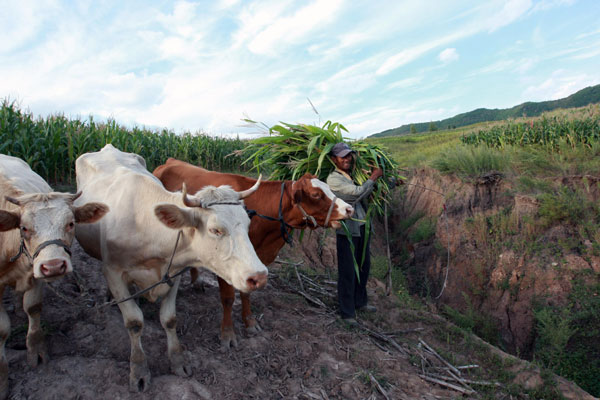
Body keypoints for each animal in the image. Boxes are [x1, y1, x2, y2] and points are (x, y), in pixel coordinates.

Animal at [0, 154, 106, 400]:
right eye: (24, 227)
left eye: (71, 223)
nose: (54, 266)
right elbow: (2, 329)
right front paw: (2, 380)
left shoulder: (35, 272)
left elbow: (33, 308)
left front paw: (36, 352)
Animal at [73, 145, 268, 392]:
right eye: (215, 230)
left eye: (248, 223)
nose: (259, 276)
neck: (147, 228)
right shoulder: (113, 272)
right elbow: (134, 322)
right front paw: (139, 370)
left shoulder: (173, 273)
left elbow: (169, 319)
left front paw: (178, 361)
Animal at [152, 158, 354, 348]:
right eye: (316, 194)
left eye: (328, 188)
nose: (349, 209)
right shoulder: (227, 265)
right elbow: (228, 298)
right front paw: (228, 333)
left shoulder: (252, 264)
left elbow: (246, 293)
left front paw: (249, 322)